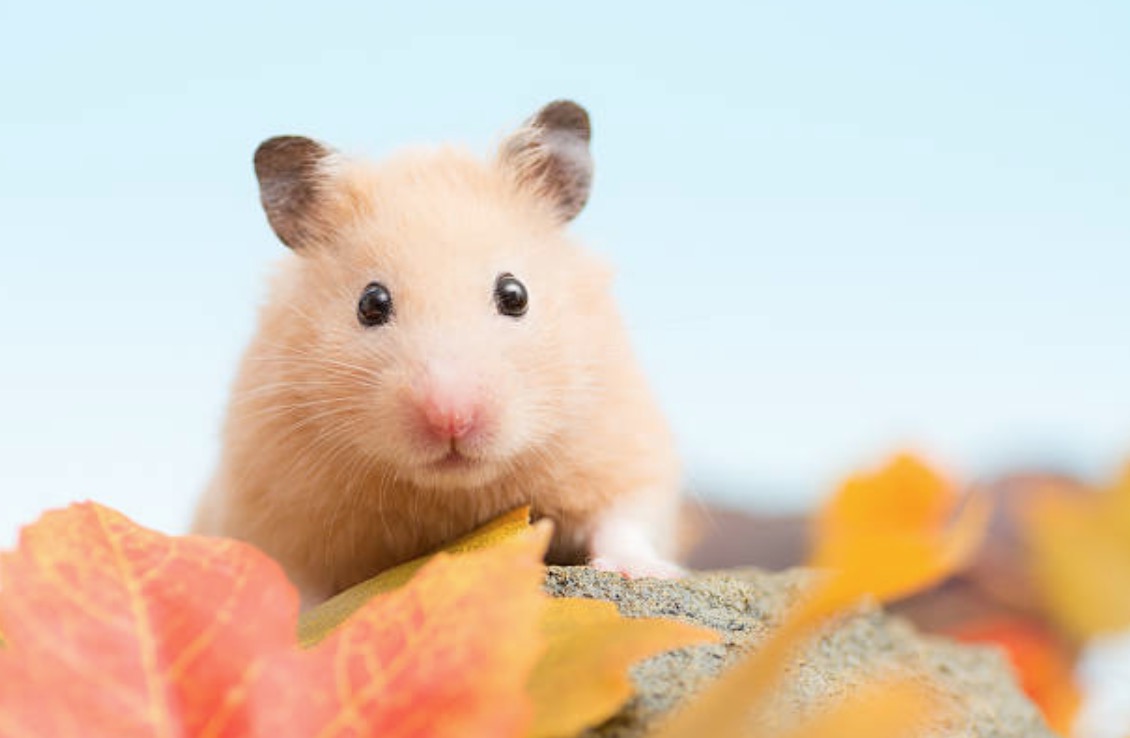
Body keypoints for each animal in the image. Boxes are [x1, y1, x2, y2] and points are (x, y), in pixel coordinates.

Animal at [193, 100, 683, 607]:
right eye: (371, 303)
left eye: (515, 294)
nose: (452, 419)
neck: (452, 493)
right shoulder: (268, 497)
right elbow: (295, 578)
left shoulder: (621, 443)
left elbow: (624, 518)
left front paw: (640, 574)